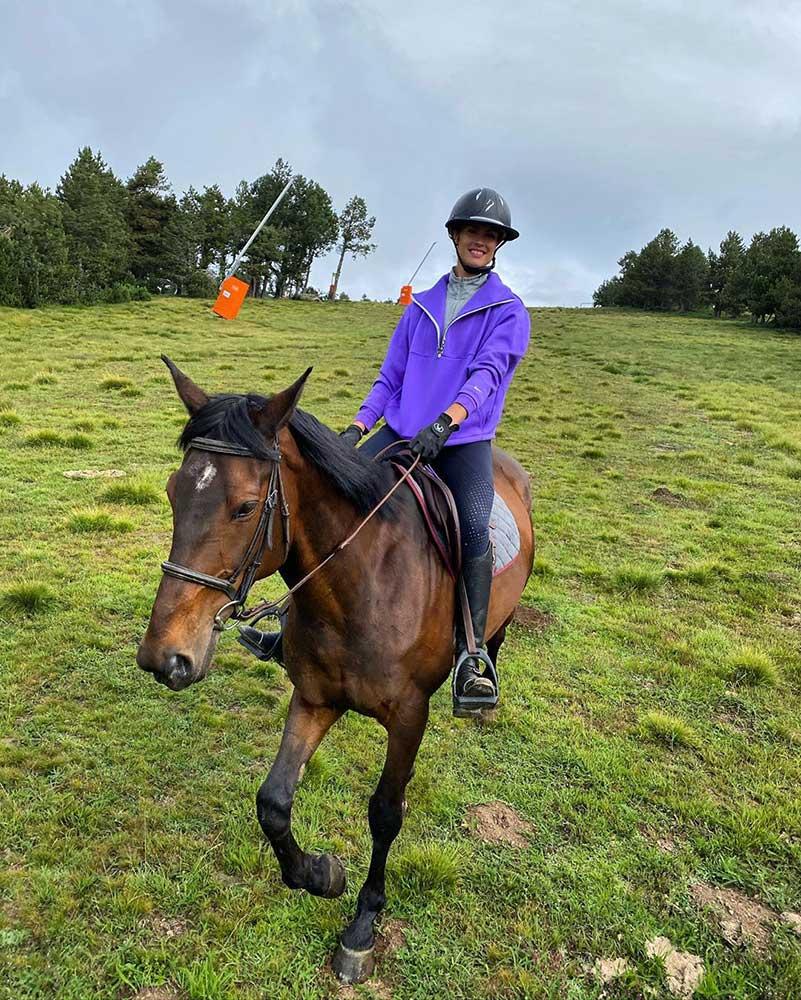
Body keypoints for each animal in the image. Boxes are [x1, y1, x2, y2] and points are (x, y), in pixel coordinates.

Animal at [139, 356, 532, 980]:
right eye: (174, 493)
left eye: (244, 507)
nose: (163, 657)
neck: (361, 584)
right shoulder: (315, 697)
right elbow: (273, 802)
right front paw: (321, 875)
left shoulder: (409, 716)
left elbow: (386, 814)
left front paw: (362, 927)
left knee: (495, 635)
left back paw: (479, 684)